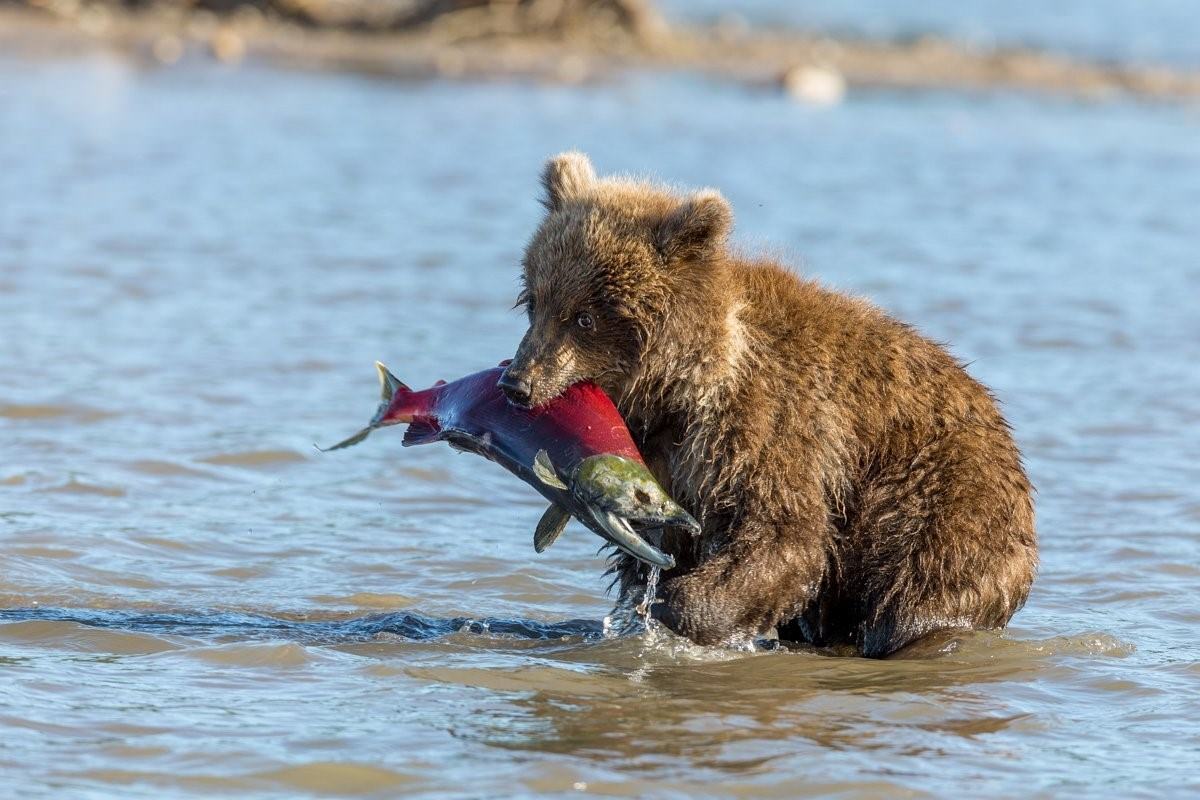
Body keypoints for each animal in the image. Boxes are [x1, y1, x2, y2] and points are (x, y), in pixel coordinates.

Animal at [501, 151, 1036, 657]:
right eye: (535, 300)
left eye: (585, 317)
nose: (516, 383)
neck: (682, 385)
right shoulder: (666, 460)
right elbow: (658, 544)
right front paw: (646, 599)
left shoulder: (768, 423)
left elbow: (783, 534)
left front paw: (675, 604)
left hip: (933, 497)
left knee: (916, 591)